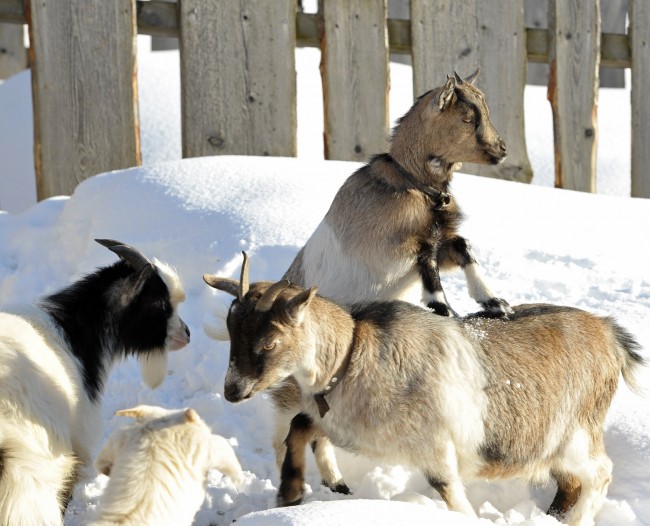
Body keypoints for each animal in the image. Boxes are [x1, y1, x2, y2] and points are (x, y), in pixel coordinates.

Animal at [202, 254, 644, 524]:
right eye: (231, 332)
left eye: (269, 342)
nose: (233, 390)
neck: (354, 352)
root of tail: (609, 333)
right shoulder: (349, 426)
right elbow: (299, 428)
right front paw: (296, 493)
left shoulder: (436, 448)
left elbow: (452, 495)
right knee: (570, 483)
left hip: (576, 434)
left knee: (599, 473)